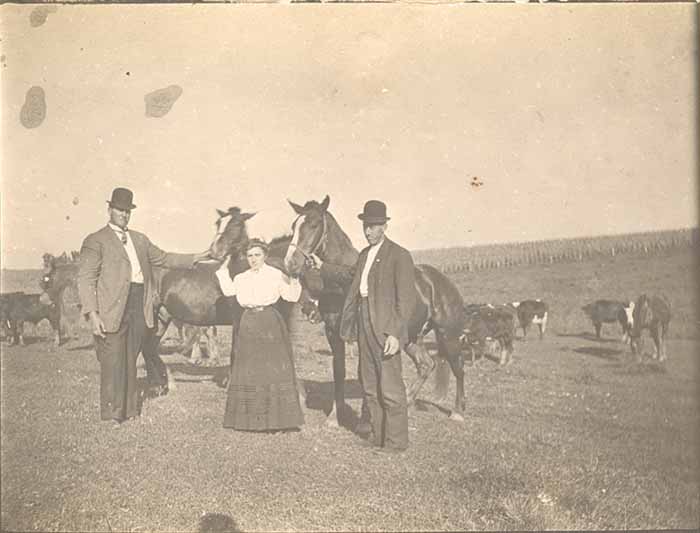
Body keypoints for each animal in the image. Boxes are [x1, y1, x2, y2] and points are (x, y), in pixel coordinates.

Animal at [284, 196, 470, 424]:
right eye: (294, 226)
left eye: (314, 224)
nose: (290, 263)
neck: (341, 285)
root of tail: (441, 281)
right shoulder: (333, 334)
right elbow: (340, 371)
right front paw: (335, 418)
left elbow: (363, 374)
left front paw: (365, 417)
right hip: (410, 338)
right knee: (426, 365)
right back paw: (407, 401)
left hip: (448, 335)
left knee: (458, 367)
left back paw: (457, 412)